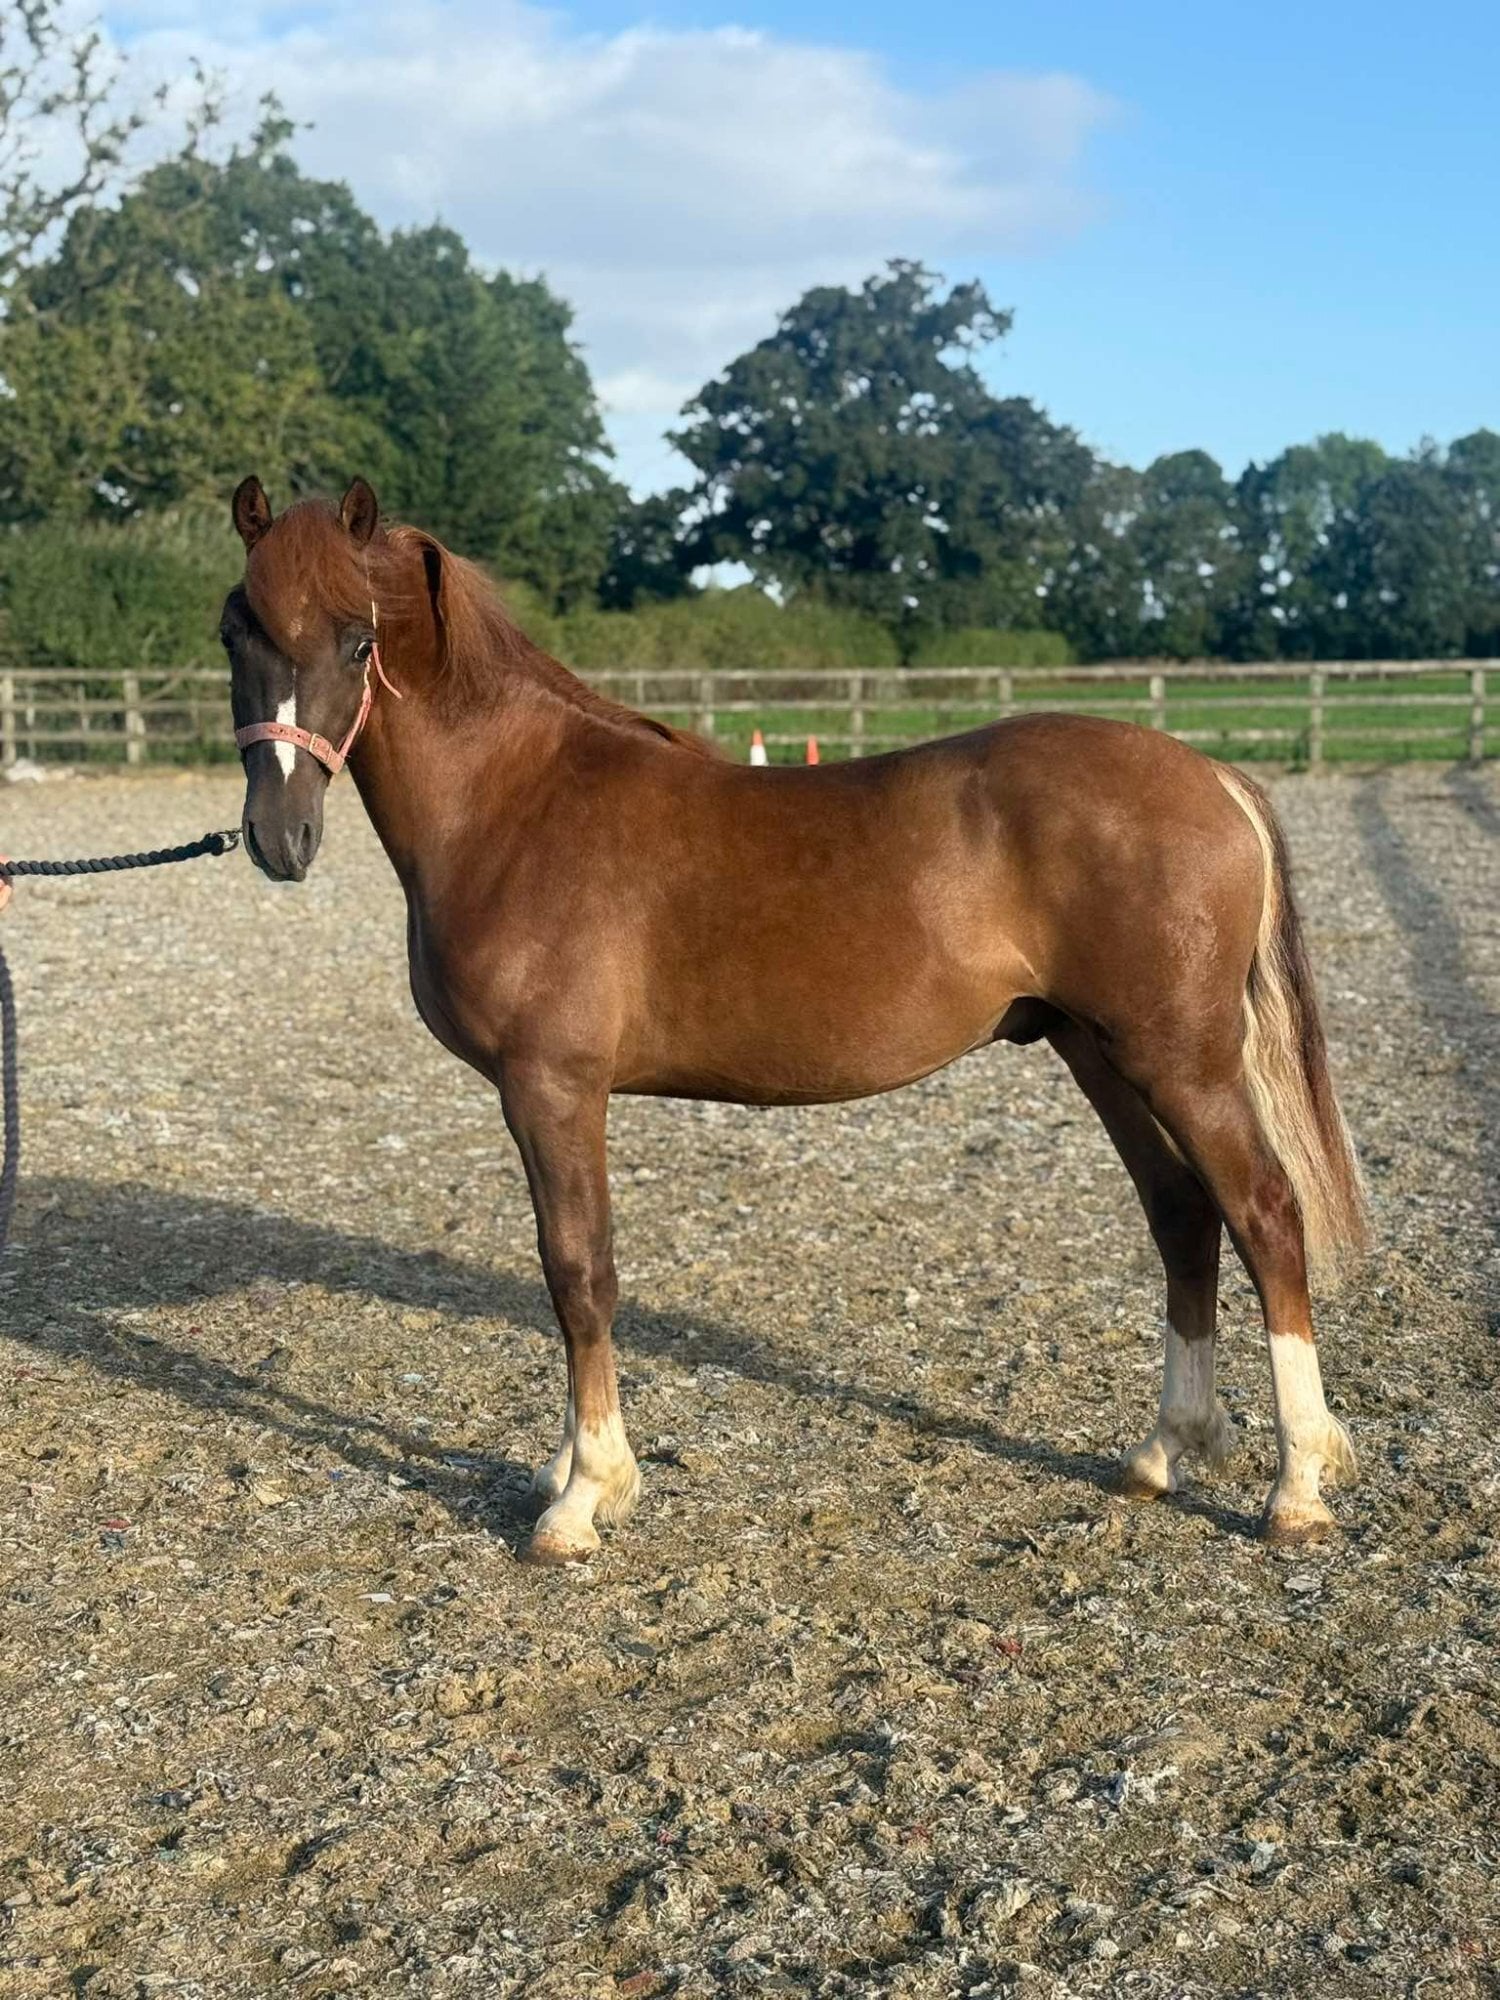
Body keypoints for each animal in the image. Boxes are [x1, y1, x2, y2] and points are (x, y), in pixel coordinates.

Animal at [222, 476, 1368, 1565]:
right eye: (237, 629)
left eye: (359, 638)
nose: (280, 838)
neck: (518, 801)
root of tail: (1211, 774)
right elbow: (572, 1273)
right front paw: (565, 1470)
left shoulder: (553, 1086)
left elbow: (578, 1273)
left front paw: (585, 1496)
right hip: (1101, 1052)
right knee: (1182, 1216)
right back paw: (1168, 1448)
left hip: (1181, 1059)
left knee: (1265, 1214)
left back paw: (1297, 1487)